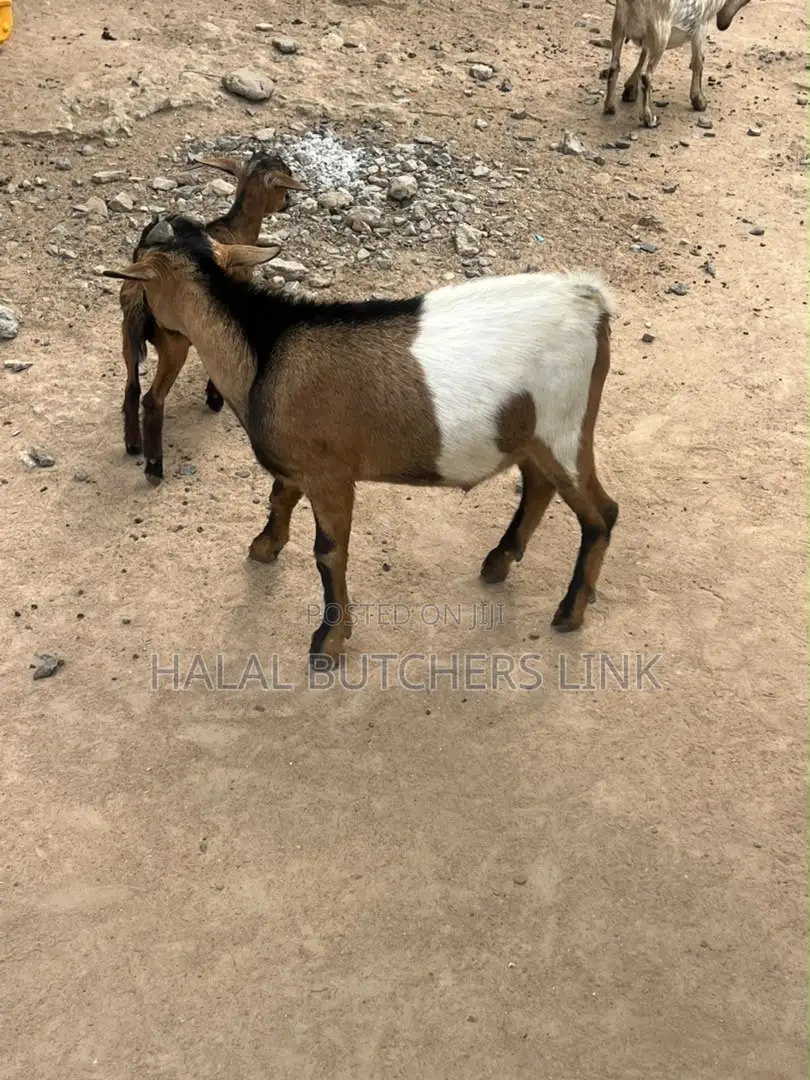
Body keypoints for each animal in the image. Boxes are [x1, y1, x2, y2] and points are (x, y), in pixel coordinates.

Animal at [104, 215, 619, 668]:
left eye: (139, 265)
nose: (136, 322)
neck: (265, 353)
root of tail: (591, 301)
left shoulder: (330, 477)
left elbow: (329, 553)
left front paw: (328, 642)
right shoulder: (298, 465)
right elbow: (279, 497)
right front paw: (265, 546)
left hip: (564, 429)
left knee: (601, 513)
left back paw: (569, 612)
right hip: (529, 433)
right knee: (539, 485)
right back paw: (498, 562)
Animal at [120, 151, 306, 484]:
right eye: (285, 178)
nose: (288, 202)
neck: (234, 233)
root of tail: (141, 290)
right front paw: (215, 398)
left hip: (127, 333)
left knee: (131, 387)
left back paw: (133, 445)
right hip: (173, 344)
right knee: (152, 399)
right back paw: (154, 466)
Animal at [603, 0, 752, 127]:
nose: (723, 26)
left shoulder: (646, 41)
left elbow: (641, 57)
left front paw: (630, 90)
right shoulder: (701, 25)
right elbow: (698, 62)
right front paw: (699, 101)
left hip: (619, 26)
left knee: (614, 66)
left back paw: (609, 107)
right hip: (660, 31)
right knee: (646, 75)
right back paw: (649, 119)